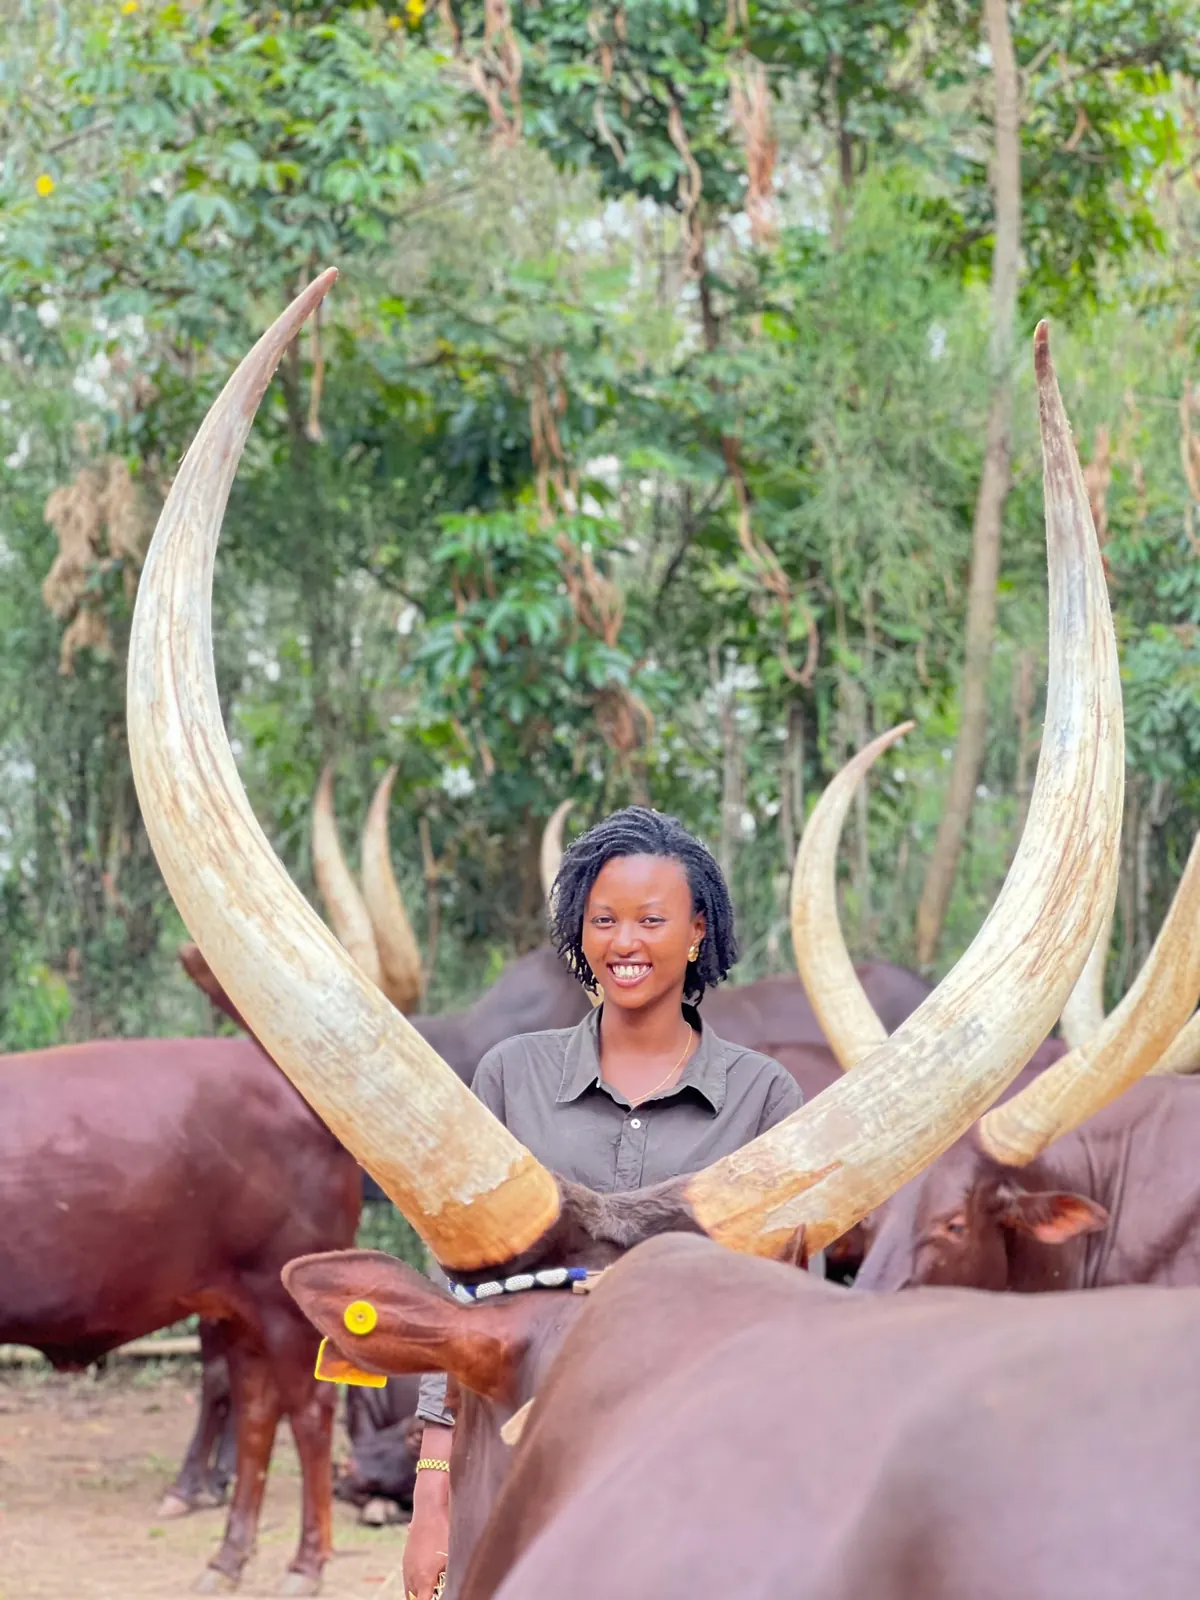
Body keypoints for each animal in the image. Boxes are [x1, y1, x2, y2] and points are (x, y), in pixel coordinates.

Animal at [0, 1036, 360, 1594]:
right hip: (242, 1316)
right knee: (256, 1416)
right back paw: (227, 1558)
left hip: (285, 1304)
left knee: (310, 1415)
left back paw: (305, 1565)